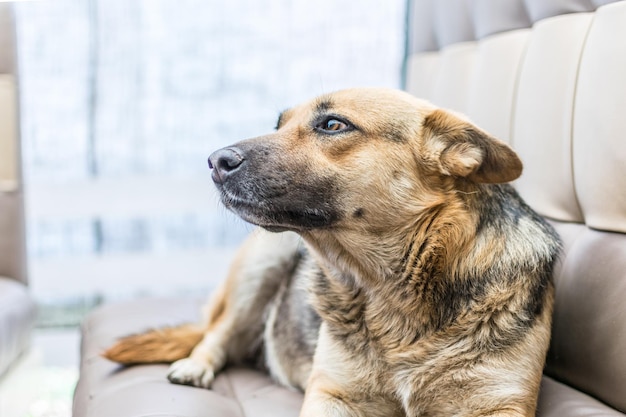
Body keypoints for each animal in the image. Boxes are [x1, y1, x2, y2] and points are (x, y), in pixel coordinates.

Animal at [103, 88, 560, 416]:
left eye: (333, 124)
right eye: (279, 124)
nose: (215, 161)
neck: (394, 294)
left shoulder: (499, 405)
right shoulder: (334, 394)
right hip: (262, 262)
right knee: (218, 333)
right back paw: (195, 365)